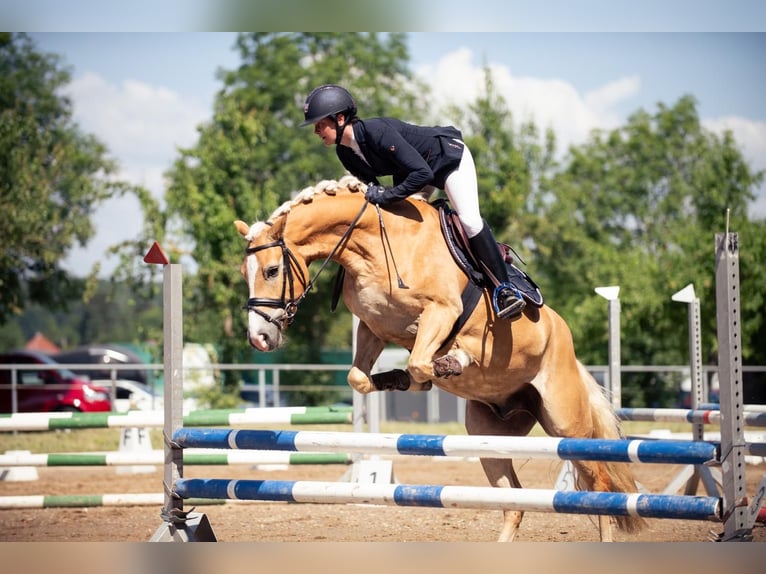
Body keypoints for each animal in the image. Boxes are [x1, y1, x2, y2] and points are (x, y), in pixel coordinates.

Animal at [236, 177, 648, 544]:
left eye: (272, 270)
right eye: (245, 273)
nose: (259, 337)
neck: (375, 245)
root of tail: (567, 344)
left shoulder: (440, 312)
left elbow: (422, 360)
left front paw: (450, 363)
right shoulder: (373, 327)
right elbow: (360, 377)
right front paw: (400, 379)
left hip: (566, 424)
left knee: (600, 486)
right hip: (489, 435)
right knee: (514, 503)